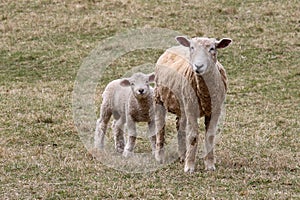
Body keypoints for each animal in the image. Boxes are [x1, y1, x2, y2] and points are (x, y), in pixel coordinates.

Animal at [155, 36, 232, 172]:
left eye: (212, 48)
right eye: (192, 47)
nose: (198, 66)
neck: (204, 93)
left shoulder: (215, 110)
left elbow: (210, 136)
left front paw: (210, 164)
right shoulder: (191, 108)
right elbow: (193, 136)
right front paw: (189, 166)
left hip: (182, 105)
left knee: (180, 127)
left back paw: (182, 155)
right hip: (159, 98)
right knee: (160, 127)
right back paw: (160, 157)